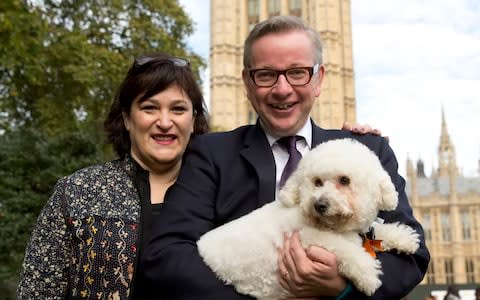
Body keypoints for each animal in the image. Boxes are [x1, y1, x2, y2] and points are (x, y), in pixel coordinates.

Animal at [197, 139, 418, 300]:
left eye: (344, 180)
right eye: (317, 182)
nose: (320, 205)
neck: (333, 226)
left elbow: (379, 231)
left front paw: (405, 238)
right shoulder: (307, 237)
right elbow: (344, 248)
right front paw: (368, 275)